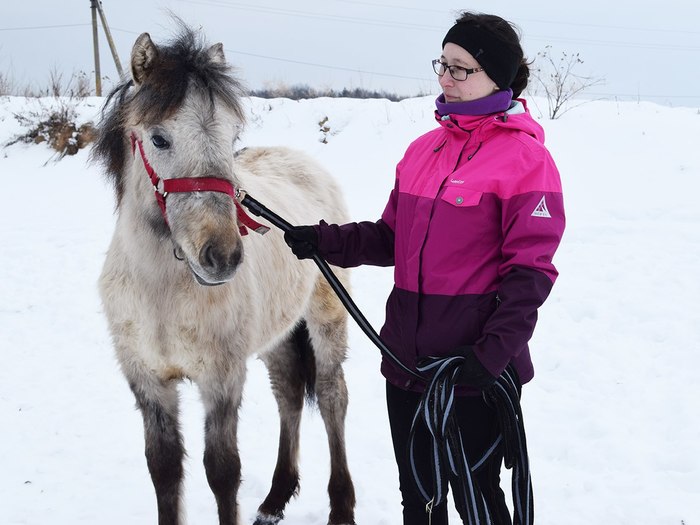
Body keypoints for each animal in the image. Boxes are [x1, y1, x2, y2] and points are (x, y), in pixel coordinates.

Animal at [91, 25, 356, 524]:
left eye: (233, 136)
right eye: (159, 138)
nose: (223, 256)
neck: (161, 293)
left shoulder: (222, 379)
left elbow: (222, 471)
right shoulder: (149, 383)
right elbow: (164, 468)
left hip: (327, 319)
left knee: (332, 397)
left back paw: (342, 507)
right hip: (276, 335)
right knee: (289, 392)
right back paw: (275, 498)